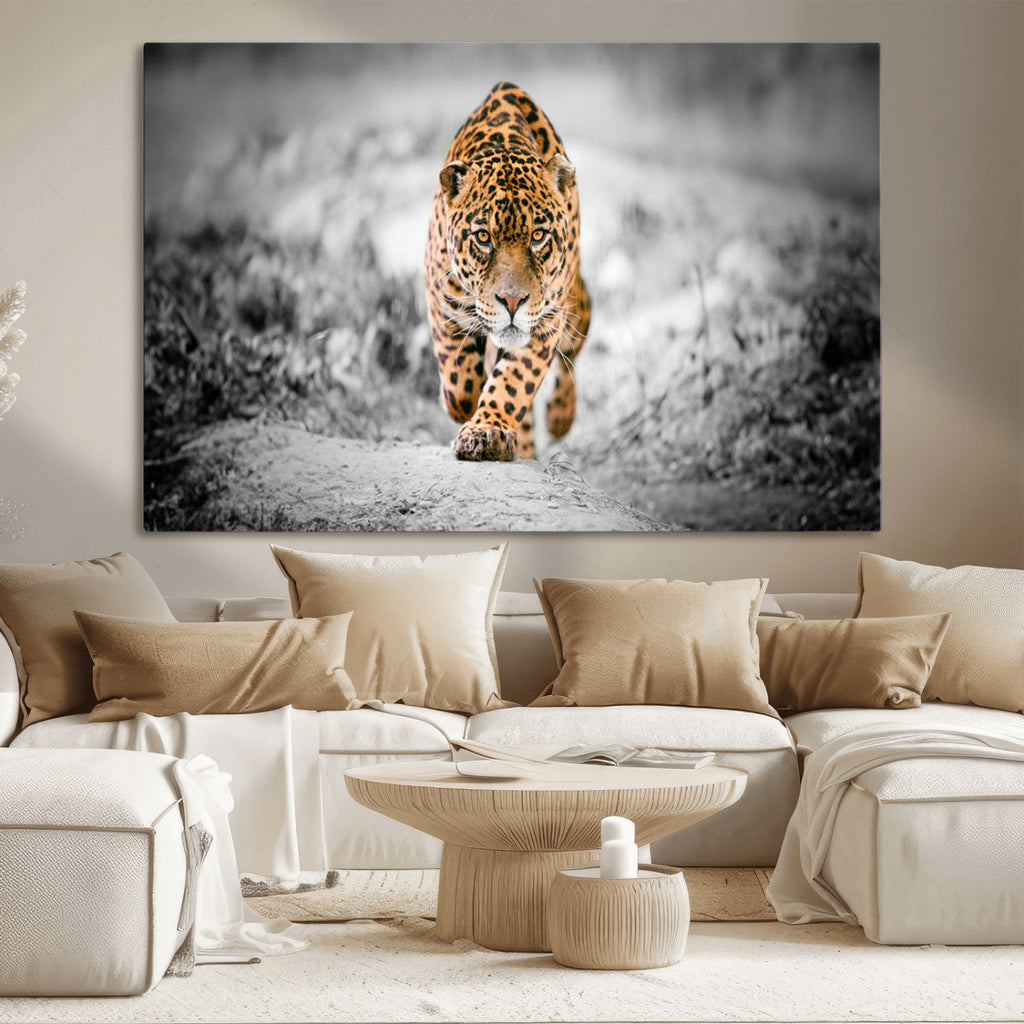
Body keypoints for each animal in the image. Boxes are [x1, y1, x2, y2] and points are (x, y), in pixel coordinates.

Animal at [424, 82, 590, 461]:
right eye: (483, 237)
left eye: (538, 236)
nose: (512, 301)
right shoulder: (441, 299)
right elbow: (459, 381)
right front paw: (464, 406)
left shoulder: (546, 320)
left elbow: (514, 382)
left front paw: (487, 431)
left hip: (575, 305)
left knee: (572, 354)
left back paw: (559, 417)